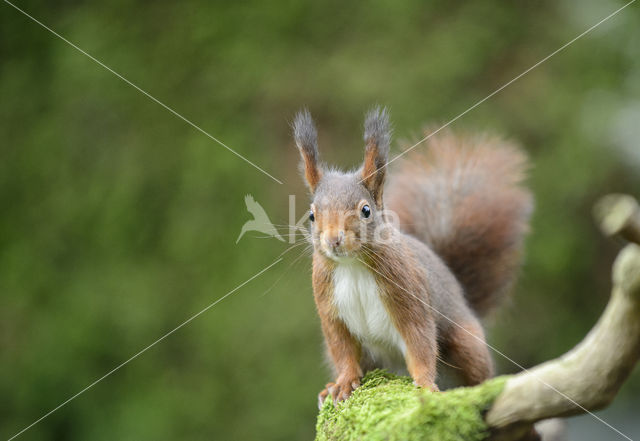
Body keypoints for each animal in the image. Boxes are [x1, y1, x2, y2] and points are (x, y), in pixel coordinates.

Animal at [292, 106, 532, 406]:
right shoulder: (331, 311)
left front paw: (425, 385)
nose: (333, 240)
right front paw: (343, 383)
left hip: (465, 343)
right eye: (312, 215)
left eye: (366, 211)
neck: (353, 264)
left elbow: (420, 342)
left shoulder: (408, 295)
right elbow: (343, 351)